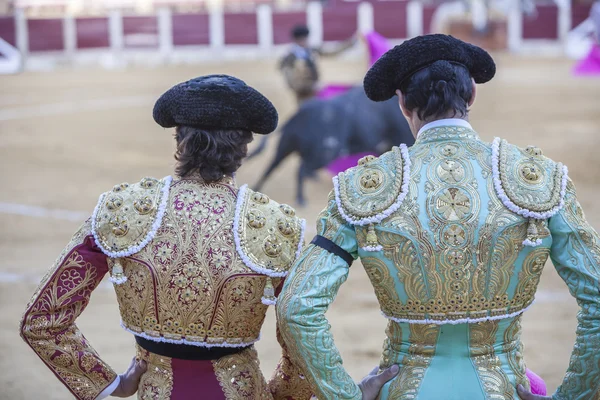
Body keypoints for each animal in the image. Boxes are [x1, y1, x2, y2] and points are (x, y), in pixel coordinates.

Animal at [247, 87, 412, 206]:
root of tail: (299, 116)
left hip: (285, 147)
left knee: (272, 166)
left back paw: (257, 188)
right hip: (324, 155)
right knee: (300, 169)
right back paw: (301, 198)